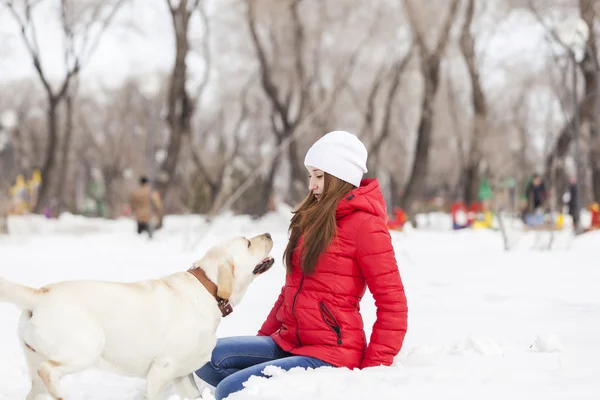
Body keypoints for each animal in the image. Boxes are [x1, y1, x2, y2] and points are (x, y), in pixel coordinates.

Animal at [0, 233, 276, 398]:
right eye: (247, 243)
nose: (269, 234)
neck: (207, 289)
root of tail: (40, 294)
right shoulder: (162, 368)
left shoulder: (182, 375)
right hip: (85, 350)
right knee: (47, 371)